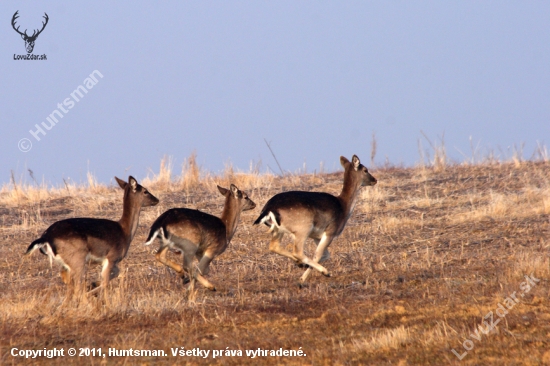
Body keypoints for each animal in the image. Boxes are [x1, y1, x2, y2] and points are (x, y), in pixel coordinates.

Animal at [25, 176, 160, 294]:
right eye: (145, 191)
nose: (157, 199)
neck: (125, 232)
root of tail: (46, 237)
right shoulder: (111, 257)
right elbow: (106, 282)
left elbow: (115, 273)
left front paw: (93, 284)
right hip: (77, 259)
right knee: (77, 287)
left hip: (64, 263)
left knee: (69, 284)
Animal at [256, 154, 378, 284]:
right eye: (365, 170)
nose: (375, 180)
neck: (344, 207)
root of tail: (269, 209)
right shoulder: (330, 231)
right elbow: (319, 255)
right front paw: (306, 277)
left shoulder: (316, 236)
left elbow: (324, 255)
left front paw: (303, 269)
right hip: (303, 228)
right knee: (297, 251)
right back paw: (322, 271)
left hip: (278, 230)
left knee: (274, 246)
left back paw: (300, 263)